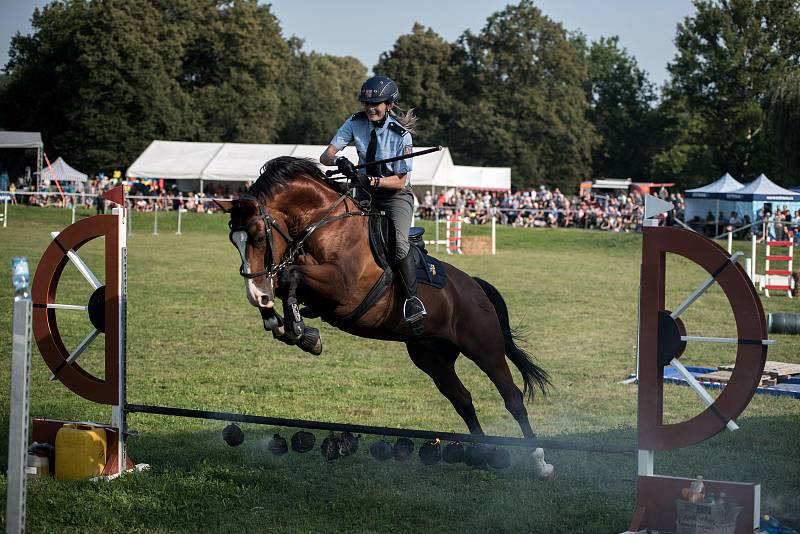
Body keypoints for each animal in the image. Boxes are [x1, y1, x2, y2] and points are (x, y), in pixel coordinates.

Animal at [216, 157, 552, 480]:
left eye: (258, 237)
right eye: (234, 240)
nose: (255, 292)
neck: (324, 225)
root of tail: (476, 287)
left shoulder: (342, 287)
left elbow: (289, 275)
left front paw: (299, 330)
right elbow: (286, 282)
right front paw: (286, 324)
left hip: (484, 347)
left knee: (512, 397)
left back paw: (541, 463)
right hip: (433, 357)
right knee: (463, 400)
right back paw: (482, 455)